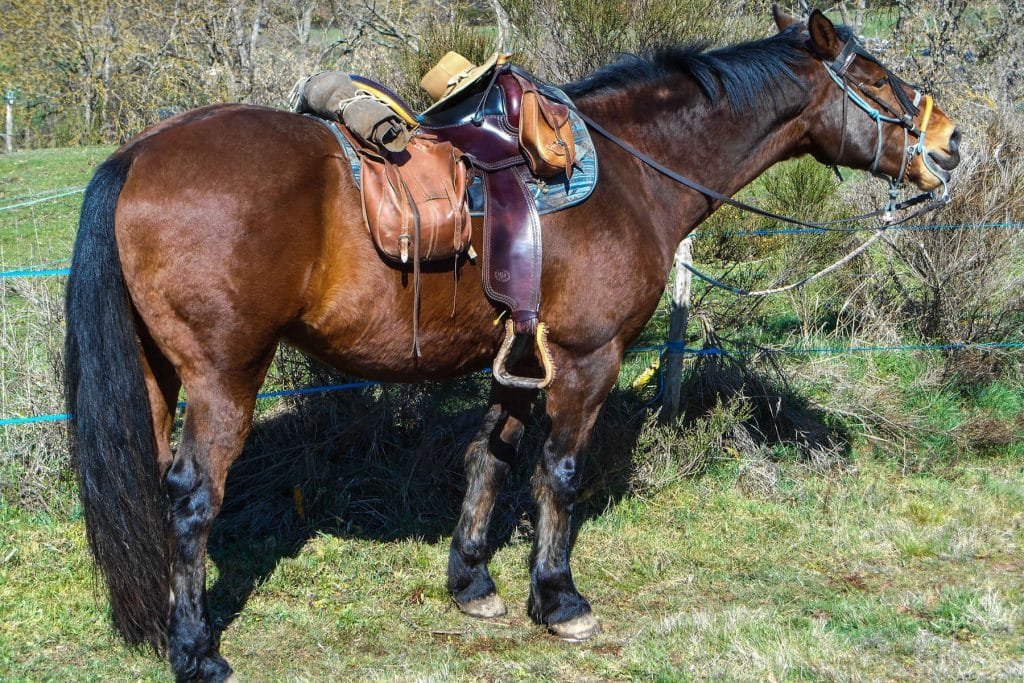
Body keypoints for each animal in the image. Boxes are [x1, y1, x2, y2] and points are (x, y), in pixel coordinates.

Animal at [64, 7, 960, 681]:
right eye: (874, 78)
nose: (948, 143)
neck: (633, 174)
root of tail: (138, 154)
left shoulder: (518, 359)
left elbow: (489, 461)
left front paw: (471, 581)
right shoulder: (588, 358)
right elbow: (558, 473)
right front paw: (557, 598)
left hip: (157, 375)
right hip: (224, 377)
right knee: (191, 498)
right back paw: (194, 650)